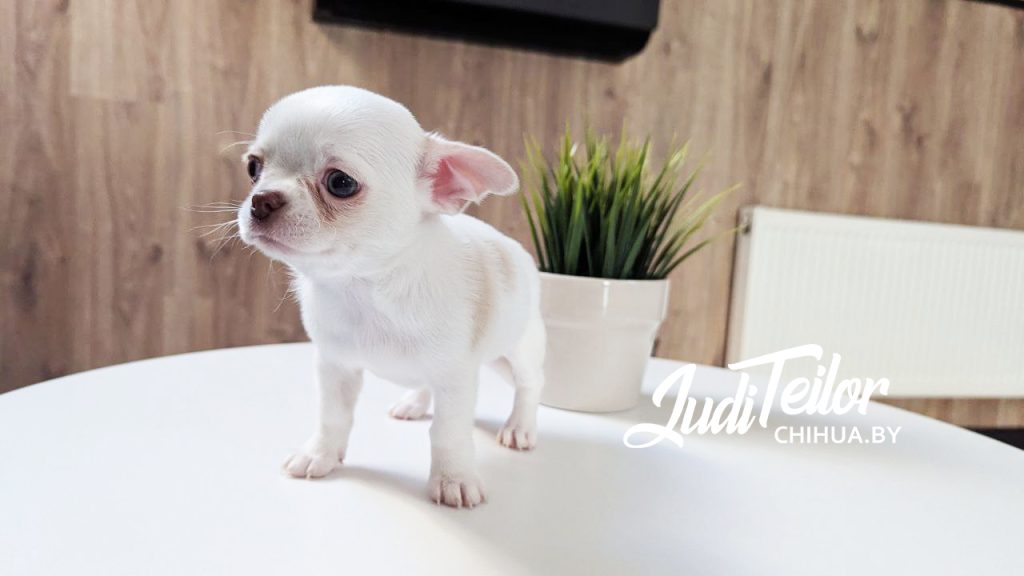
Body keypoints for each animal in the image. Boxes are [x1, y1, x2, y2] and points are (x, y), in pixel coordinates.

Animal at [236, 86, 545, 508]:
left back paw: (520, 426)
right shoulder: (336, 366)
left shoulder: (454, 379)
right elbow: (332, 416)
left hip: (521, 347)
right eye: (253, 168)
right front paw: (319, 454)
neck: (364, 288)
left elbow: (448, 433)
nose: (261, 199)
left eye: (341, 183)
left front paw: (453, 478)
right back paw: (413, 402)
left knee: (530, 385)